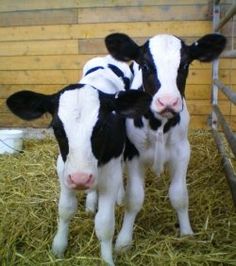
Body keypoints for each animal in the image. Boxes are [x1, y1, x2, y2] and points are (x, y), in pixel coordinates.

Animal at [7, 56, 152, 266]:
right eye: (57, 129)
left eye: (102, 127)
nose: (80, 179)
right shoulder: (64, 170)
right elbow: (65, 210)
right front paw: (58, 248)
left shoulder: (110, 174)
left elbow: (105, 224)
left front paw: (107, 260)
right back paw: (91, 203)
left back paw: (120, 197)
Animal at [105, 32, 227, 250]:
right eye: (145, 65)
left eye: (185, 65)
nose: (168, 102)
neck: (159, 126)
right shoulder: (133, 155)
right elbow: (134, 199)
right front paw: (124, 240)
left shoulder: (182, 152)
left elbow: (179, 196)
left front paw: (186, 233)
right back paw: (119, 196)